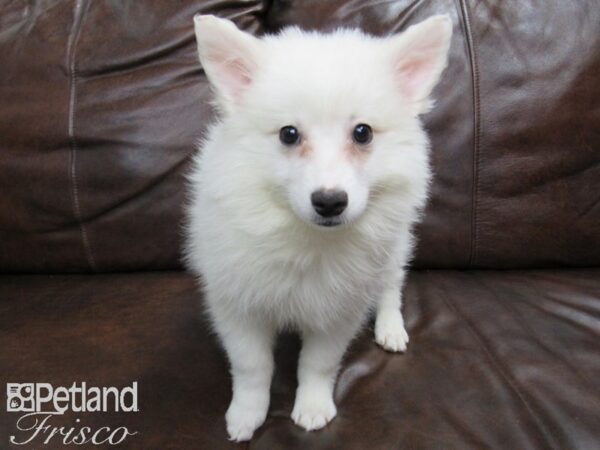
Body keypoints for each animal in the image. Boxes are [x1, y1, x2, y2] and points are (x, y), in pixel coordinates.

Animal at [185, 13, 452, 440]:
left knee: (391, 285)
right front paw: (246, 413)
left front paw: (312, 406)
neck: (306, 238)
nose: (329, 201)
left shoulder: (339, 310)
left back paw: (391, 327)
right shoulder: (236, 303)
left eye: (363, 132)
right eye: (288, 134)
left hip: (393, 248)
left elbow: (318, 363)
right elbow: (252, 364)